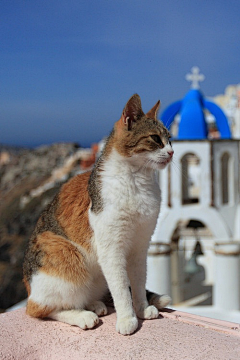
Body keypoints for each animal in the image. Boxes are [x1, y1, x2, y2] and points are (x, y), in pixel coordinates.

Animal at [23, 93, 172, 334]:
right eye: (155, 139)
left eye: (170, 140)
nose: (171, 152)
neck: (137, 180)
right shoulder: (111, 250)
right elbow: (121, 288)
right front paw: (127, 318)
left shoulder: (140, 246)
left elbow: (138, 283)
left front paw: (141, 308)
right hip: (62, 253)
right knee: (40, 309)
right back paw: (82, 315)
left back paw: (94, 304)